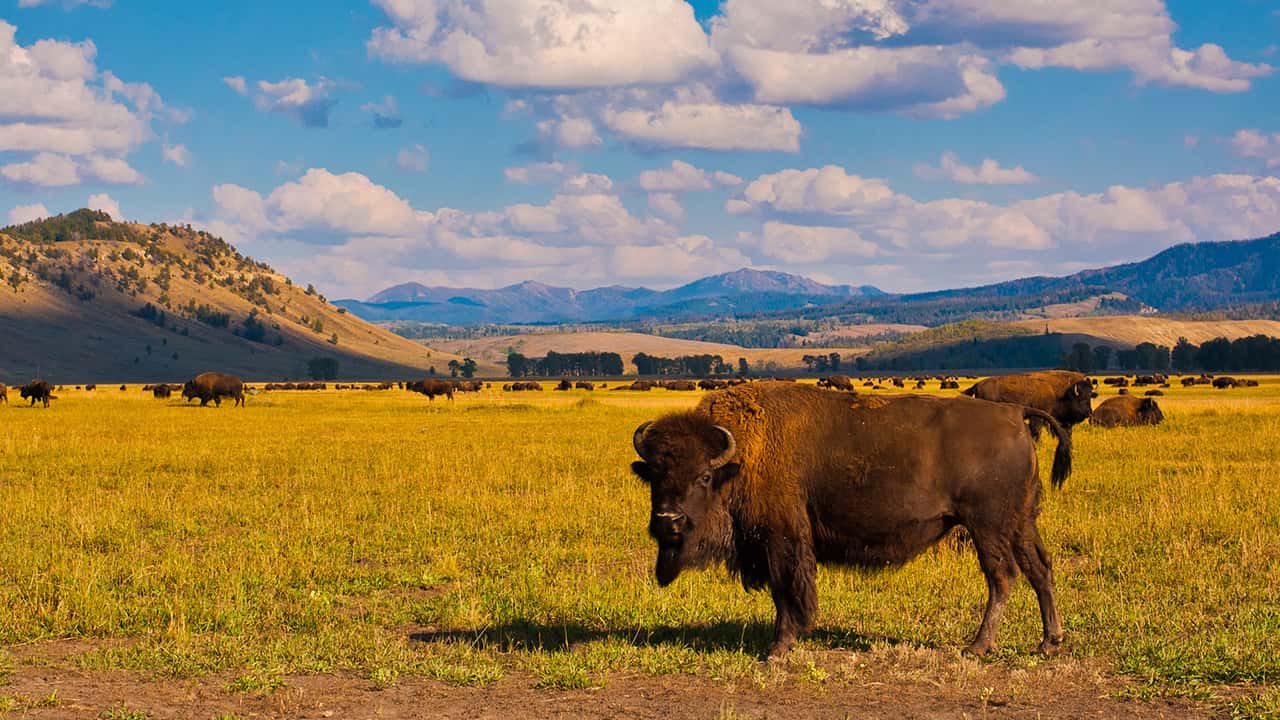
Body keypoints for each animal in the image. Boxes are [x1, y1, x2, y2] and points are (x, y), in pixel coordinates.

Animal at [631, 381, 1070, 659]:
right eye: (654, 475)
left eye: (703, 477)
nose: (668, 520)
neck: (739, 459)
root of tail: (1014, 413)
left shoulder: (781, 538)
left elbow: (786, 589)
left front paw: (778, 647)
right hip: (1020, 523)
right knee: (1039, 569)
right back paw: (1048, 643)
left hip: (987, 526)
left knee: (1003, 576)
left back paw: (978, 646)